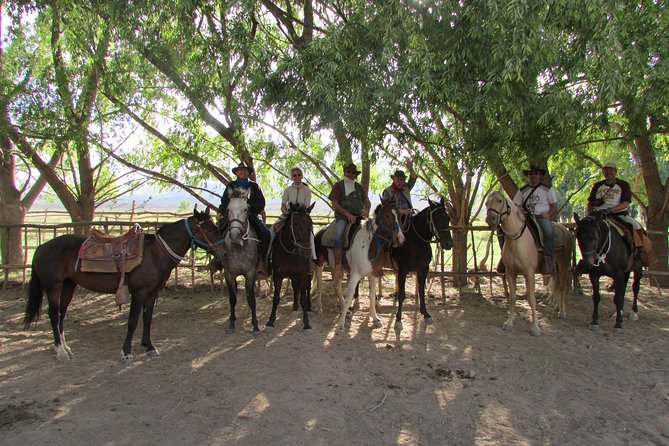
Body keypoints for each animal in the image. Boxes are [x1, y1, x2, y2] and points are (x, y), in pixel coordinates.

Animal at [22, 208, 226, 362]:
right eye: (208, 228)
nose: (224, 252)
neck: (154, 254)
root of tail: (41, 247)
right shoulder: (139, 293)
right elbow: (133, 321)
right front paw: (127, 352)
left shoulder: (152, 293)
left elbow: (148, 318)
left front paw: (149, 347)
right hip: (53, 286)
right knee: (54, 315)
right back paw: (60, 351)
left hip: (68, 285)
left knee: (62, 314)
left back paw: (65, 348)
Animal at [264, 202, 314, 332]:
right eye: (295, 223)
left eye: (311, 223)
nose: (306, 252)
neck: (290, 252)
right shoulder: (278, 276)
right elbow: (276, 298)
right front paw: (270, 321)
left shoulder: (302, 274)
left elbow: (303, 298)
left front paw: (306, 323)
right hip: (292, 275)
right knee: (295, 288)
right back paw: (295, 307)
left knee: (307, 288)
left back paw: (309, 307)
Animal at [312, 200, 402, 336]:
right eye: (387, 215)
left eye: (399, 215)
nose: (400, 238)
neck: (370, 245)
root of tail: (319, 232)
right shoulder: (355, 275)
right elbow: (350, 297)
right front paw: (340, 326)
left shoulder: (374, 274)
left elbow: (372, 295)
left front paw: (375, 319)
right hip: (319, 265)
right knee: (320, 286)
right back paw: (320, 309)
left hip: (336, 268)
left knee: (337, 287)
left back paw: (345, 310)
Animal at [392, 197, 454, 330]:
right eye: (436, 218)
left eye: (447, 218)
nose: (449, 244)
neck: (416, 241)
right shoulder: (403, 270)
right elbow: (402, 294)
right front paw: (398, 319)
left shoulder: (423, 268)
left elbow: (421, 291)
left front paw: (426, 314)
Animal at [482, 190, 572, 336]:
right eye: (486, 202)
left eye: (500, 200)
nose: (491, 219)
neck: (517, 240)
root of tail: (565, 230)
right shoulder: (511, 273)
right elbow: (512, 298)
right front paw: (509, 323)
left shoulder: (530, 273)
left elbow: (532, 299)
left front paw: (535, 327)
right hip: (555, 268)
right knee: (557, 285)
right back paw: (556, 307)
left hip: (564, 265)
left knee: (562, 287)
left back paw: (562, 312)